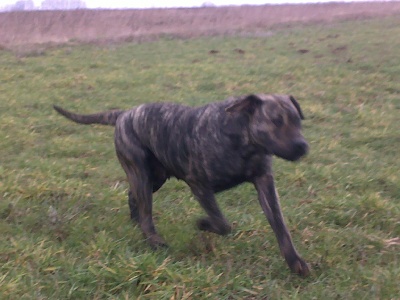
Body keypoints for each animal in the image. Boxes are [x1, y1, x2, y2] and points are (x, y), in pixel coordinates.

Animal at [53, 94, 310, 276]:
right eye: (276, 121)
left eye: (298, 121)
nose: (302, 146)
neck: (243, 139)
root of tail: (125, 114)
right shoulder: (199, 184)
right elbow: (222, 223)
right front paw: (203, 223)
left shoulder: (265, 183)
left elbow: (280, 227)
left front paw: (295, 262)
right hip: (141, 172)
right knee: (145, 208)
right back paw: (154, 240)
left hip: (154, 177)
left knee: (134, 198)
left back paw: (137, 223)